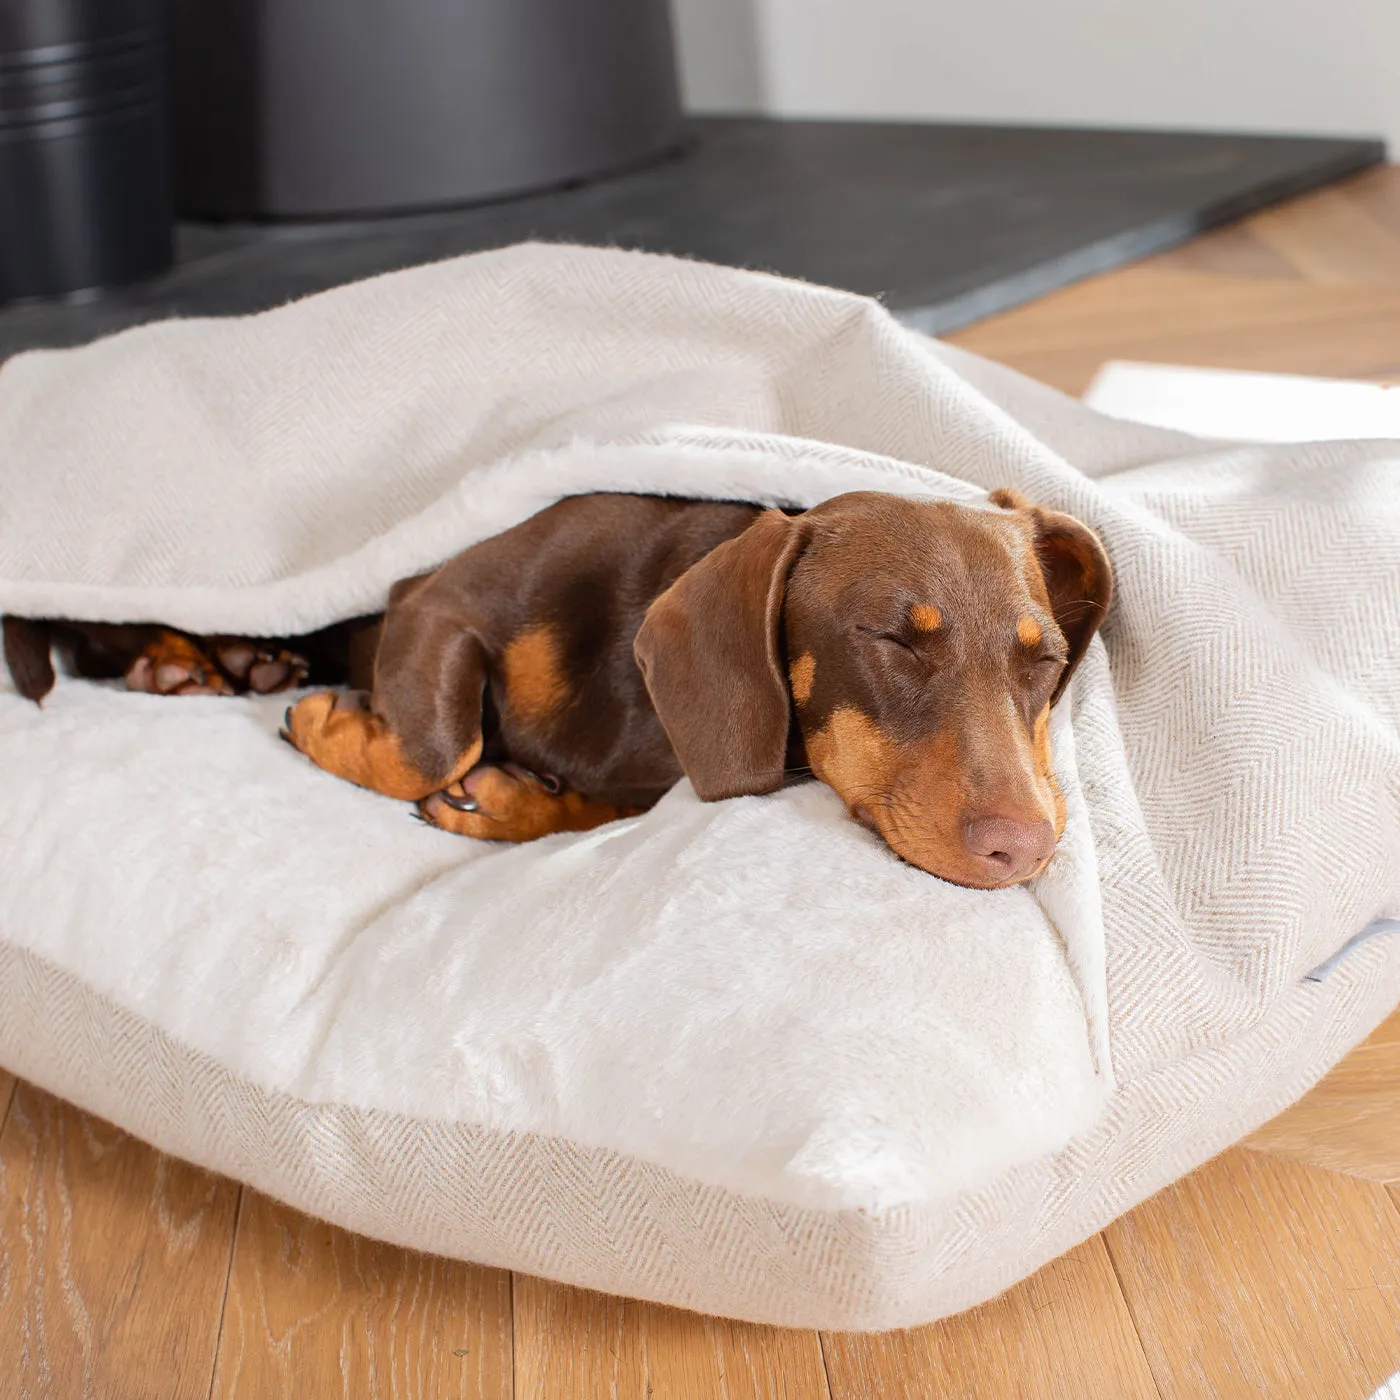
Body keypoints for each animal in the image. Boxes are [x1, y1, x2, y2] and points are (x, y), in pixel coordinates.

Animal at [5, 490, 1108, 884]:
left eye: (1045, 662)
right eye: (889, 638)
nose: (1026, 848)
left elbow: (581, 805)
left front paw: (506, 804)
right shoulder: (434, 599)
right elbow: (435, 740)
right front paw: (331, 728)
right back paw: (187, 656)